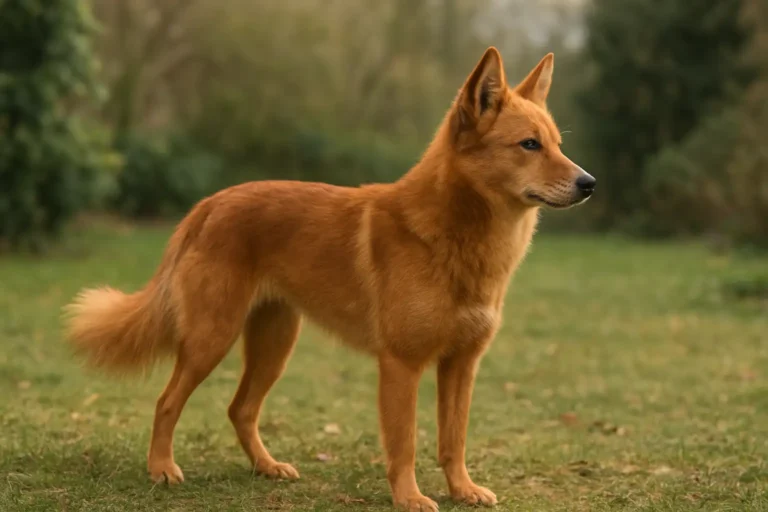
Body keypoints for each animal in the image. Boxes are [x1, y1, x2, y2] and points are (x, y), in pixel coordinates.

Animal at [64, 47, 595, 511]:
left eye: (558, 144)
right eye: (529, 145)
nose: (589, 184)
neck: (452, 231)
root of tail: (211, 204)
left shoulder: (461, 365)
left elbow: (453, 438)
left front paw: (462, 490)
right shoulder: (401, 366)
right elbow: (404, 443)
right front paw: (409, 497)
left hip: (275, 345)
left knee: (241, 409)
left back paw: (266, 466)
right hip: (211, 340)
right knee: (167, 401)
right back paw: (161, 468)